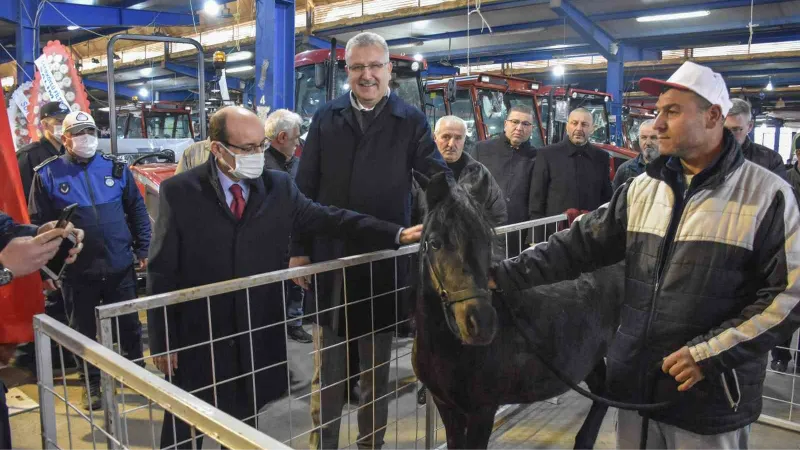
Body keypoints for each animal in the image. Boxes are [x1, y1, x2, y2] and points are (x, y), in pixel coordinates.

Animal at [412, 173, 624, 450]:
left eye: (486, 240)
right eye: (435, 243)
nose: (480, 323)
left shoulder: (483, 410)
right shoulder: (447, 407)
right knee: (601, 392)